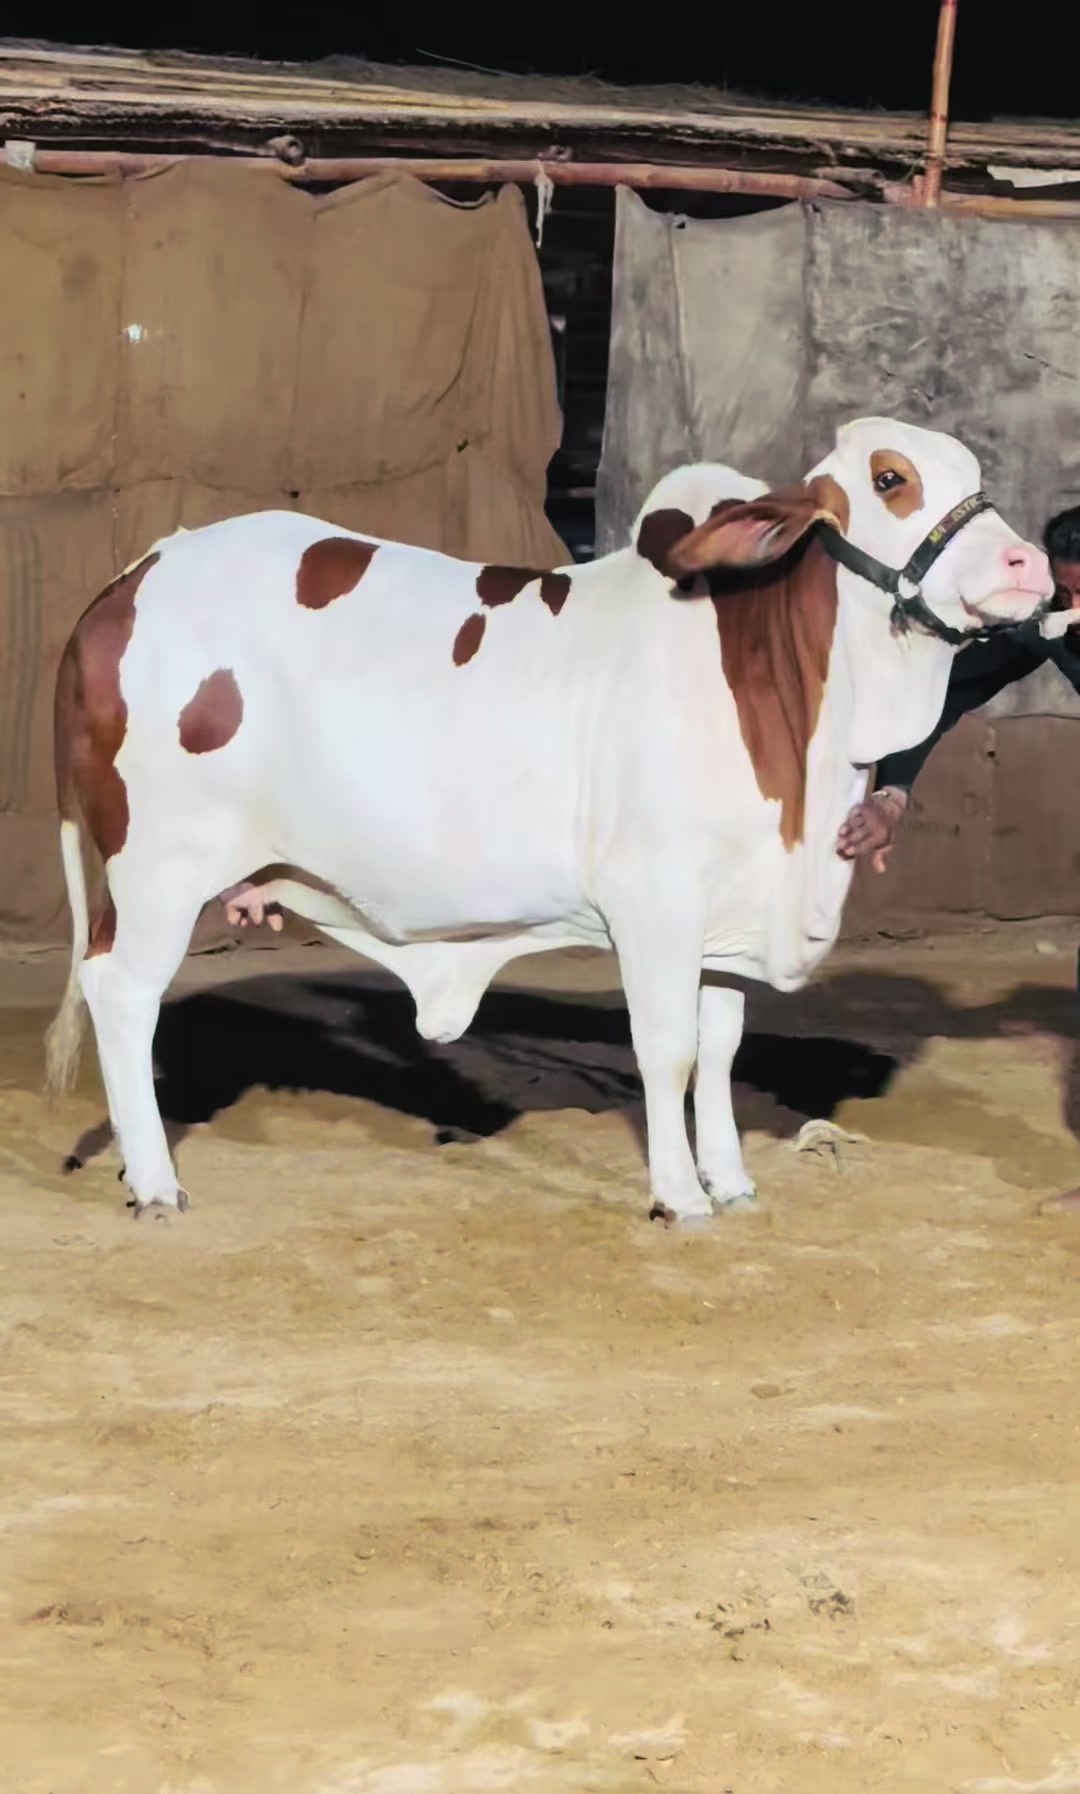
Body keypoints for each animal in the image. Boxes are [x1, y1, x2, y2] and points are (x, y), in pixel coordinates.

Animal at [45, 418, 1052, 1224]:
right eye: (890, 479)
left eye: (970, 470)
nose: (1031, 565)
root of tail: (130, 580)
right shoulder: (655, 900)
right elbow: (668, 1051)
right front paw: (678, 1195)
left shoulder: (724, 918)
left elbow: (720, 1047)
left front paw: (730, 1182)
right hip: (159, 868)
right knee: (121, 993)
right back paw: (156, 1182)